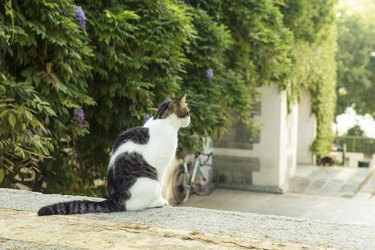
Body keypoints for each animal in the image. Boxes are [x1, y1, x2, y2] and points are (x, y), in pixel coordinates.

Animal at [37, 94, 191, 216]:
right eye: (187, 112)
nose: (190, 120)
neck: (162, 120)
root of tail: (114, 198)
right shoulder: (161, 169)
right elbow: (161, 186)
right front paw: (161, 200)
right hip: (150, 182)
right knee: (136, 204)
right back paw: (156, 203)